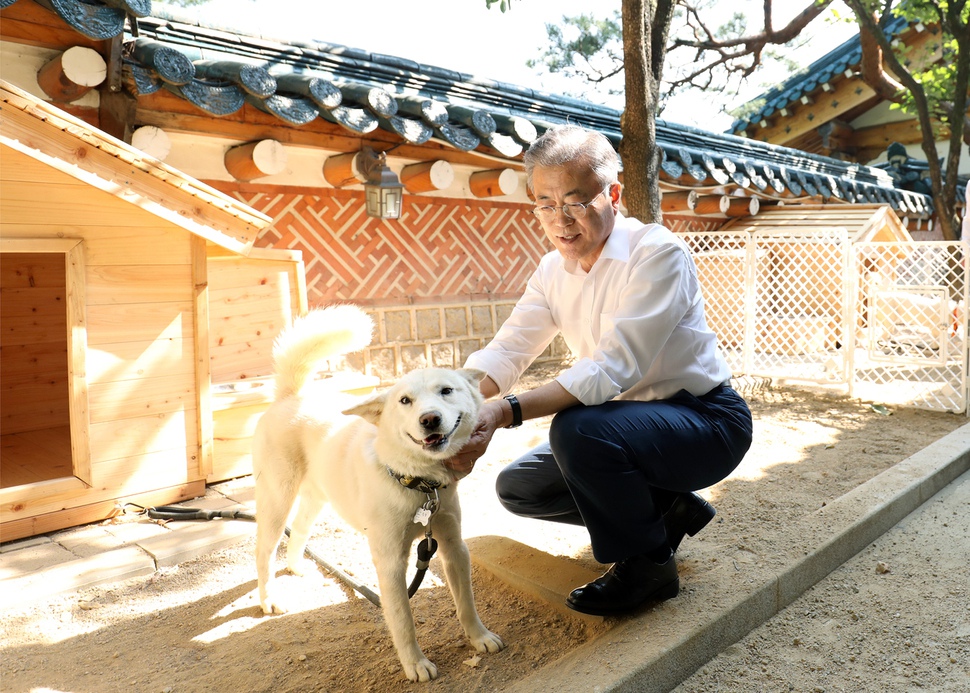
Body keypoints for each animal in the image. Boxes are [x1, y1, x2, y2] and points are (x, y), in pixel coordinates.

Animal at [250, 304, 506, 680]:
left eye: (446, 390)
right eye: (405, 401)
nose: (429, 419)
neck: (417, 484)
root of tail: (292, 396)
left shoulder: (453, 546)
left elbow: (466, 604)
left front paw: (480, 637)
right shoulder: (390, 563)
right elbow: (402, 620)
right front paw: (415, 664)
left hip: (317, 498)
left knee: (298, 530)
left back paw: (297, 566)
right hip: (277, 499)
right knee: (265, 552)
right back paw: (268, 599)